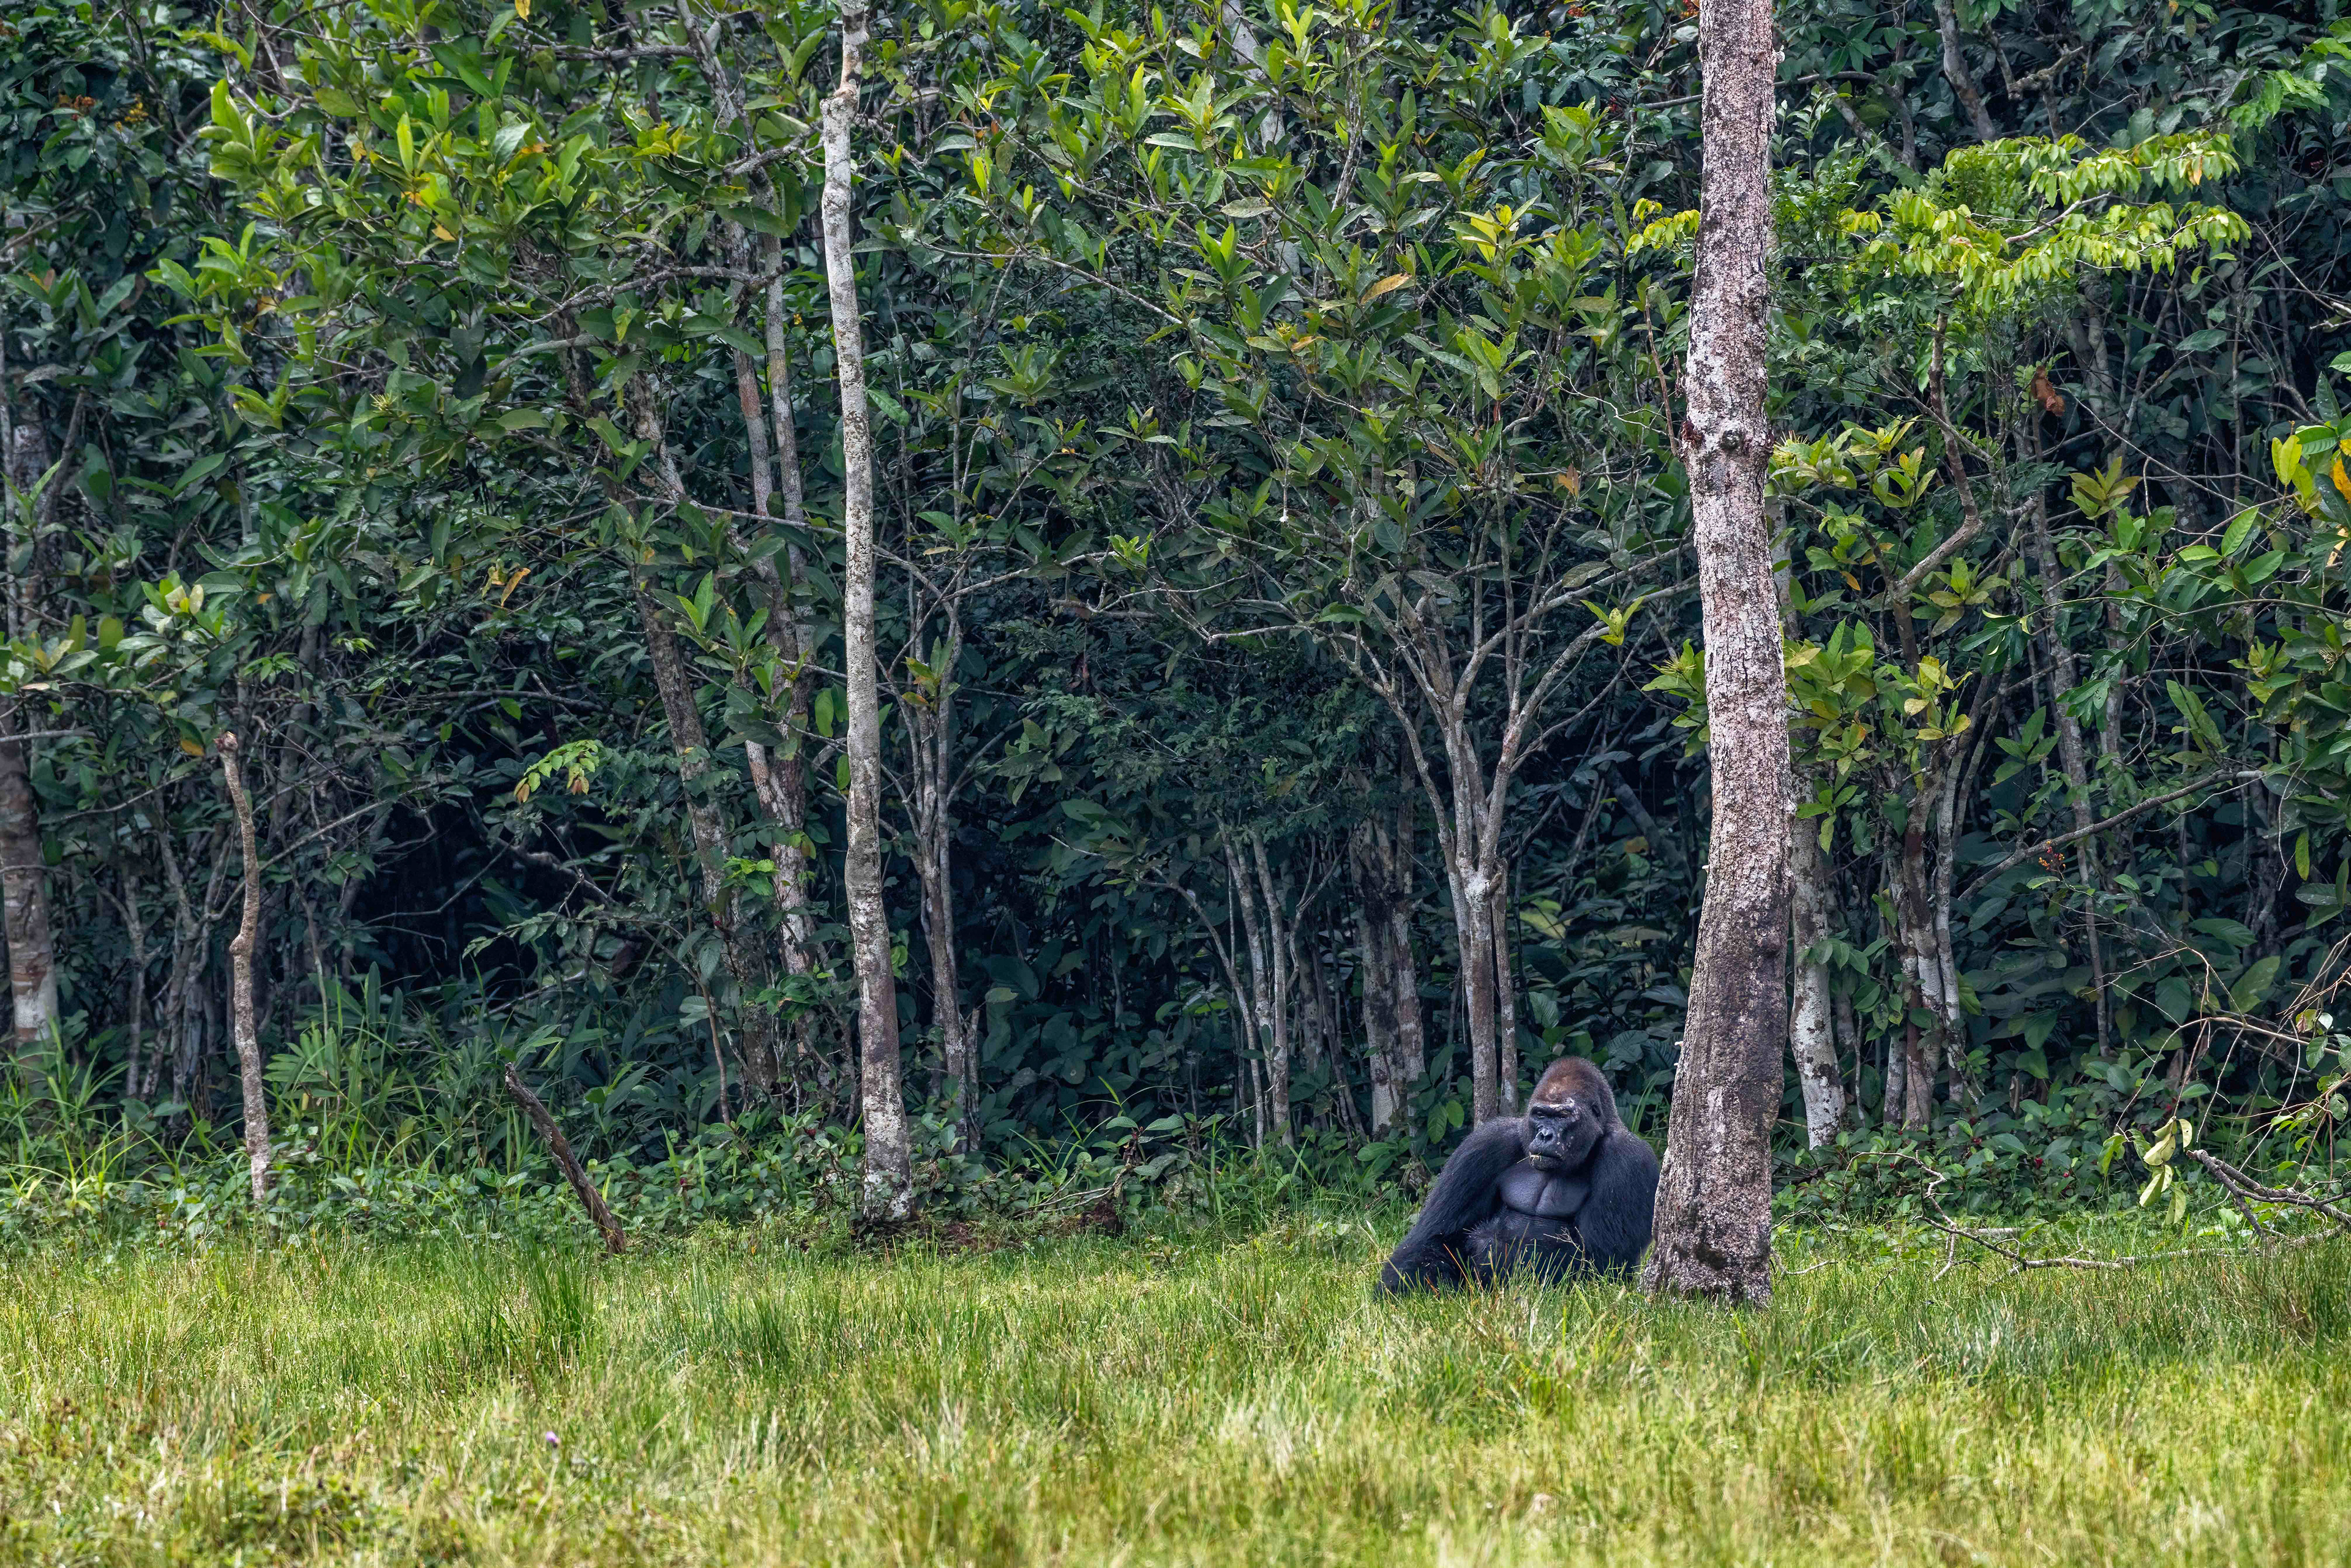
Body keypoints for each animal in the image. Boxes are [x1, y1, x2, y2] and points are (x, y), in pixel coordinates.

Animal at [1377, 1056, 1659, 1293]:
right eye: (1541, 1114)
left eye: (1563, 1116)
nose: (1545, 1135)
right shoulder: (1486, 1143)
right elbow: (1434, 1236)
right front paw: (1403, 1287)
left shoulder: (1629, 1158)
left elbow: (1599, 1261)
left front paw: (1488, 1245)